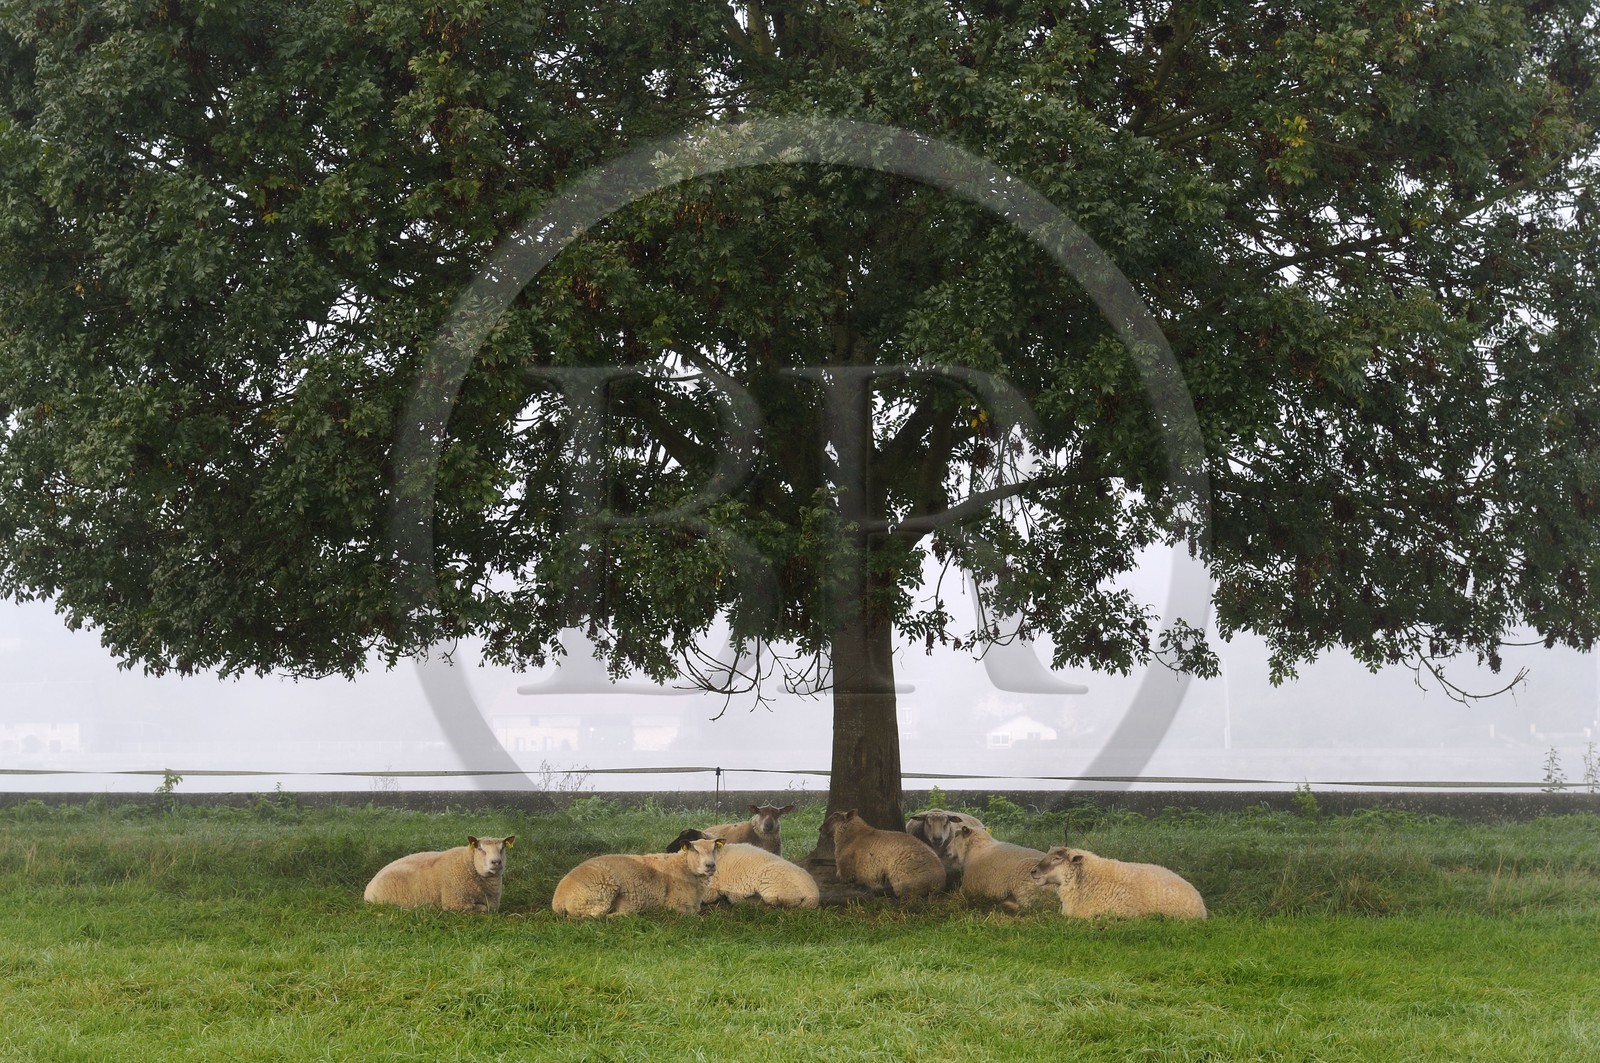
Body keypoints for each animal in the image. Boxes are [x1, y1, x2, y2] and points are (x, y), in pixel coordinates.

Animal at [363, 835, 514, 913]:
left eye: (502, 848)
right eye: (480, 848)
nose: (496, 862)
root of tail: (368, 889)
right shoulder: (454, 903)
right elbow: (482, 908)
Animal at [551, 837, 724, 918]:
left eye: (714, 849)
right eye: (695, 850)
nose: (710, 865)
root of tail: (558, 900)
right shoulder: (676, 905)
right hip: (600, 892)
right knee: (597, 915)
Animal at [667, 829, 820, 909]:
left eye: (688, 839)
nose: (667, 848)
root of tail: (814, 894)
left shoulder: (709, 888)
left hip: (771, 885)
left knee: (774, 903)